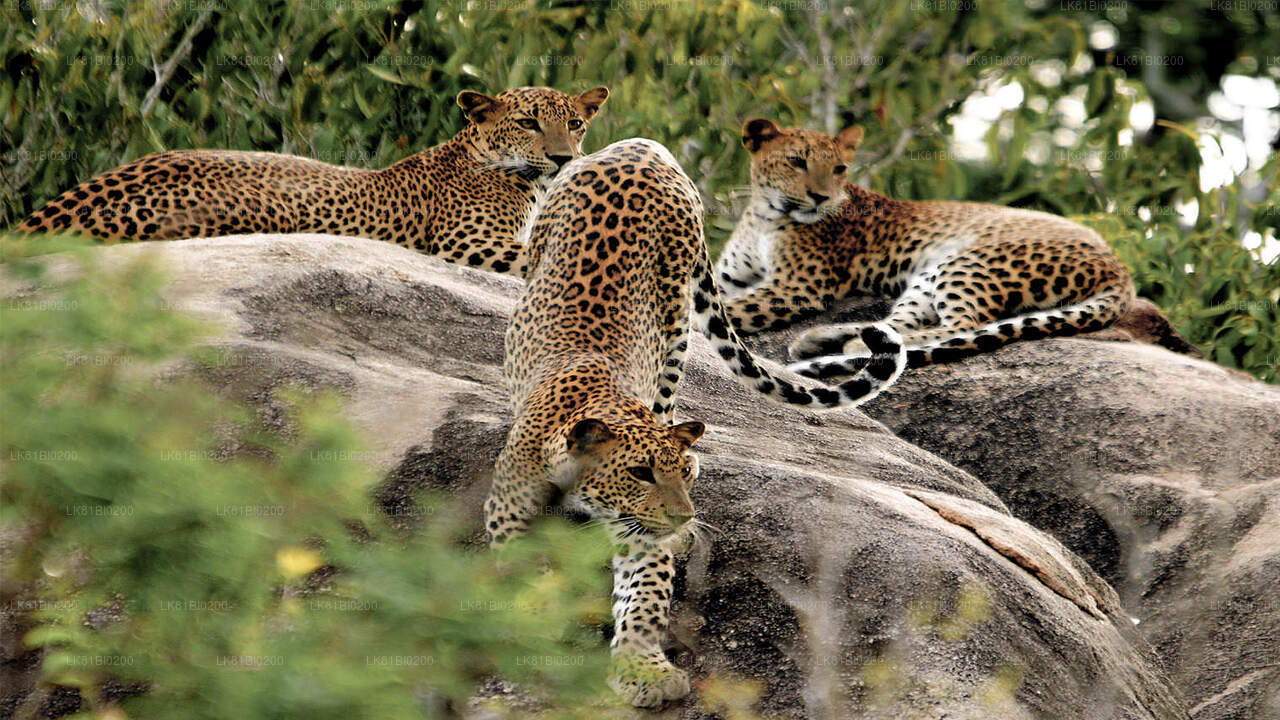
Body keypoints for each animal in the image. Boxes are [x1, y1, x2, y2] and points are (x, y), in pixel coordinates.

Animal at [483, 137, 906, 702]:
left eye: (680, 474)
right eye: (639, 473)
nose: (684, 516)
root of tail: (641, 146)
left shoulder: (641, 533)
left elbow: (643, 597)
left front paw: (644, 671)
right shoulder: (509, 509)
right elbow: (516, 569)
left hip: (677, 320)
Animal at [716, 116, 1136, 376]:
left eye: (839, 169)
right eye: (796, 161)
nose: (821, 197)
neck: (763, 214)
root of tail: (1120, 267)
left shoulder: (797, 286)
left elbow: (730, 310)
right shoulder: (727, 277)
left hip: (969, 262)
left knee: (959, 326)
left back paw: (844, 346)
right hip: (930, 274)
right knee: (895, 325)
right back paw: (822, 338)